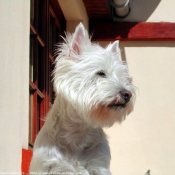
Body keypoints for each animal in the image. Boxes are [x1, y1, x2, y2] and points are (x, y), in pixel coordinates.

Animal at [29, 23, 135, 175]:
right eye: (101, 73)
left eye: (123, 77)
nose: (127, 94)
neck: (78, 132)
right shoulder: (49, 165)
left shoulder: (99, 166)